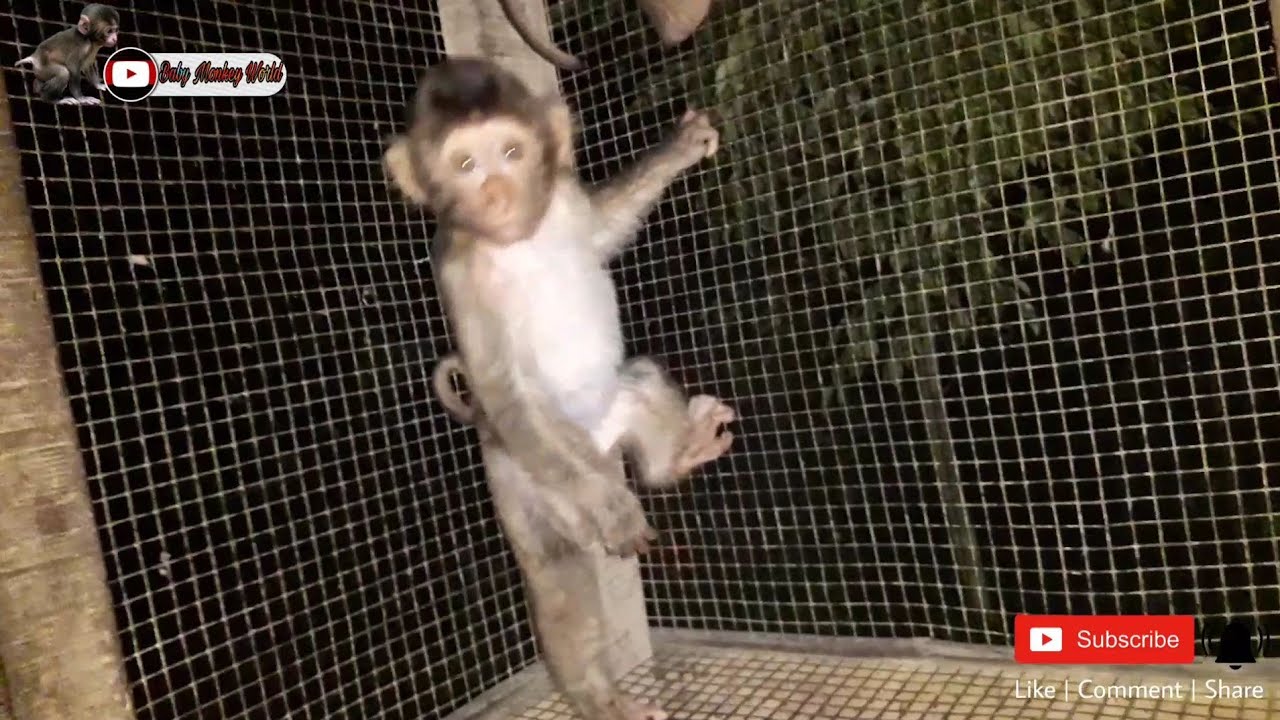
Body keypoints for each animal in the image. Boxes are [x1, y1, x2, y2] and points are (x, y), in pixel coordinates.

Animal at [386, 58, 734, 719]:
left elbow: (600, 232)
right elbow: (503, 389)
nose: (495, 194)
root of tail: (599, 447)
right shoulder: (459, 272)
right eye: (465, 164)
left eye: (510, 152)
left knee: (640, 382)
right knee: (558, 568)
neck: (518, 239)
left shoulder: (565, 202)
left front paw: (676, 150)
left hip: (614, 416)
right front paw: (610, 506)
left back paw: (678, 455)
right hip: (531, 476)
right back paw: (598, 698)